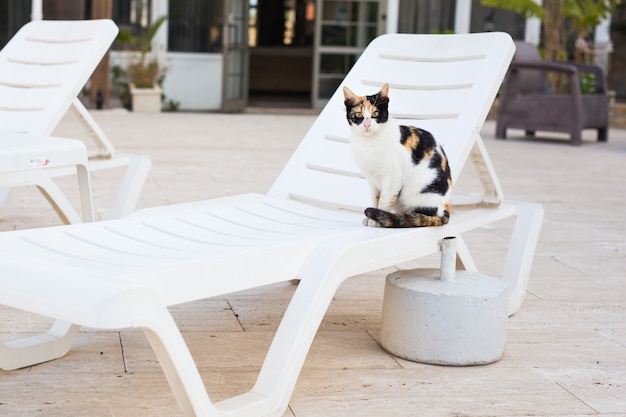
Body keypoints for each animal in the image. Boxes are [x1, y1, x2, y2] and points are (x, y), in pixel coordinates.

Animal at [344, 82, 450, 228]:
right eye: (358, 114)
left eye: (375, 113)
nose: (366, 125)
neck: (369, 142)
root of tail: (445, 212)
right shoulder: (371, 179)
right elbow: (375, 199)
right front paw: (370, 218)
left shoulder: (393, 178)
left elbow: (384, 200)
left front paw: (376, 219)